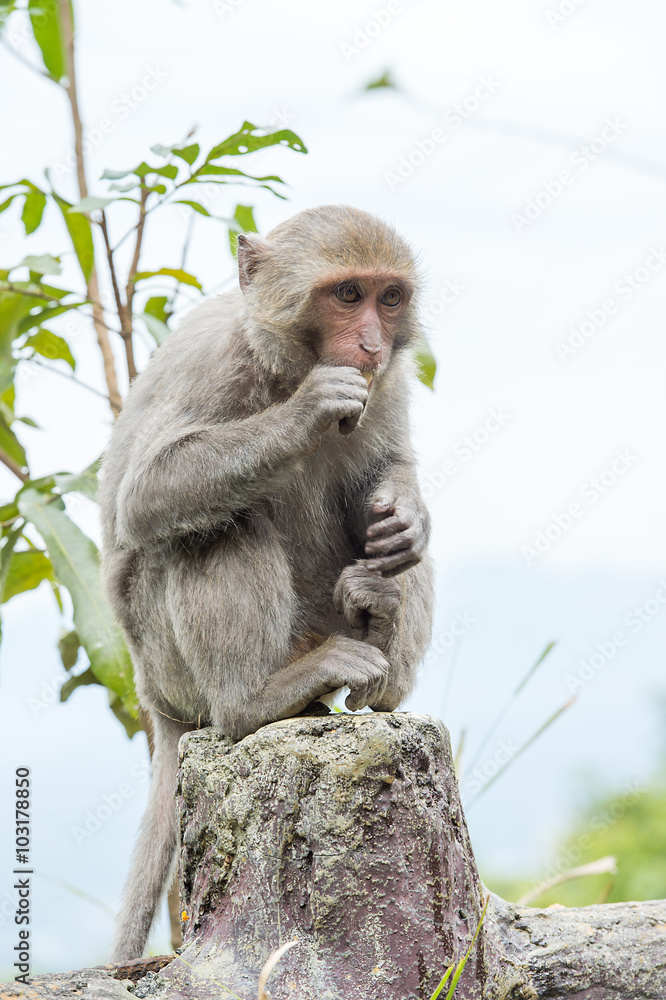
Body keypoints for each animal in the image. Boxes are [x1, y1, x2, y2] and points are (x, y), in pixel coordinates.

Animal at [97, 203, 430, 960]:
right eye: (347, 295)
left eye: (389, 297)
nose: (371, 343)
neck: (285, 365)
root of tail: (151, 697)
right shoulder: (212, 364)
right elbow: (146, 495)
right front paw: (308, 412)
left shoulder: (391, 385)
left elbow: (389, 474)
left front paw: (406, 516)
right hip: (168, 661)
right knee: (215, 521)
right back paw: (254, 701)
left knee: (386, 563)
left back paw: (381, 635)